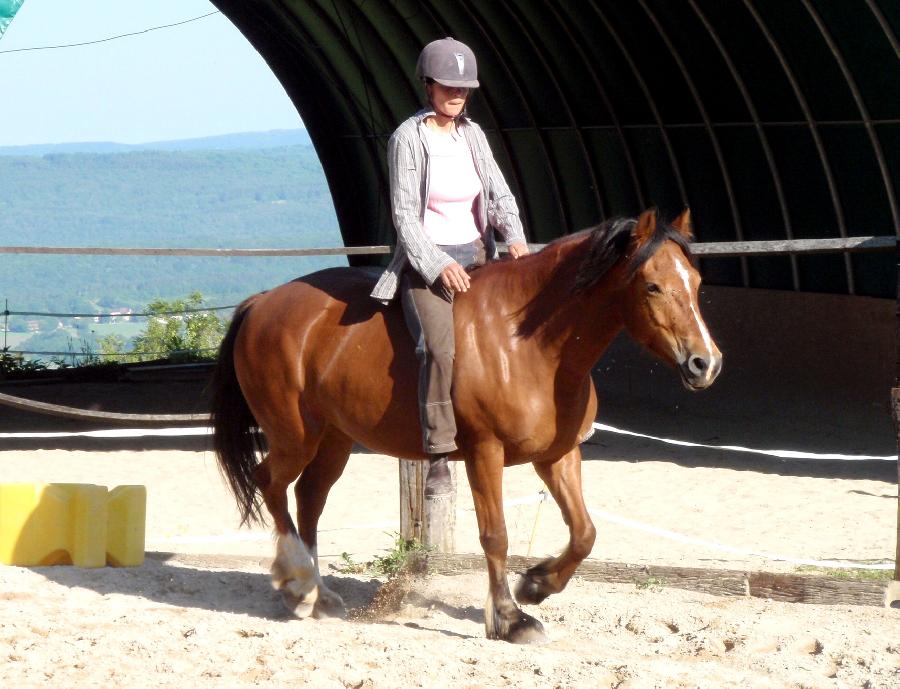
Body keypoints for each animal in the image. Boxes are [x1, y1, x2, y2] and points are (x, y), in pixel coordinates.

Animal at [207, 207, 720, 644]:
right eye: (651, 286)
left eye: (695, 281)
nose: (705, 363)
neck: (525, 343)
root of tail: (262, 303)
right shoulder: (483, 452)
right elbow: (496, 536)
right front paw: (510, 619)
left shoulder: (558, 455)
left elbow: (584, 533)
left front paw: (536, 585)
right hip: (295, 435)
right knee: (270, 484)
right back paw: (299, 585)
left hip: (334, 439)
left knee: (308, 499)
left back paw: (319, 595)